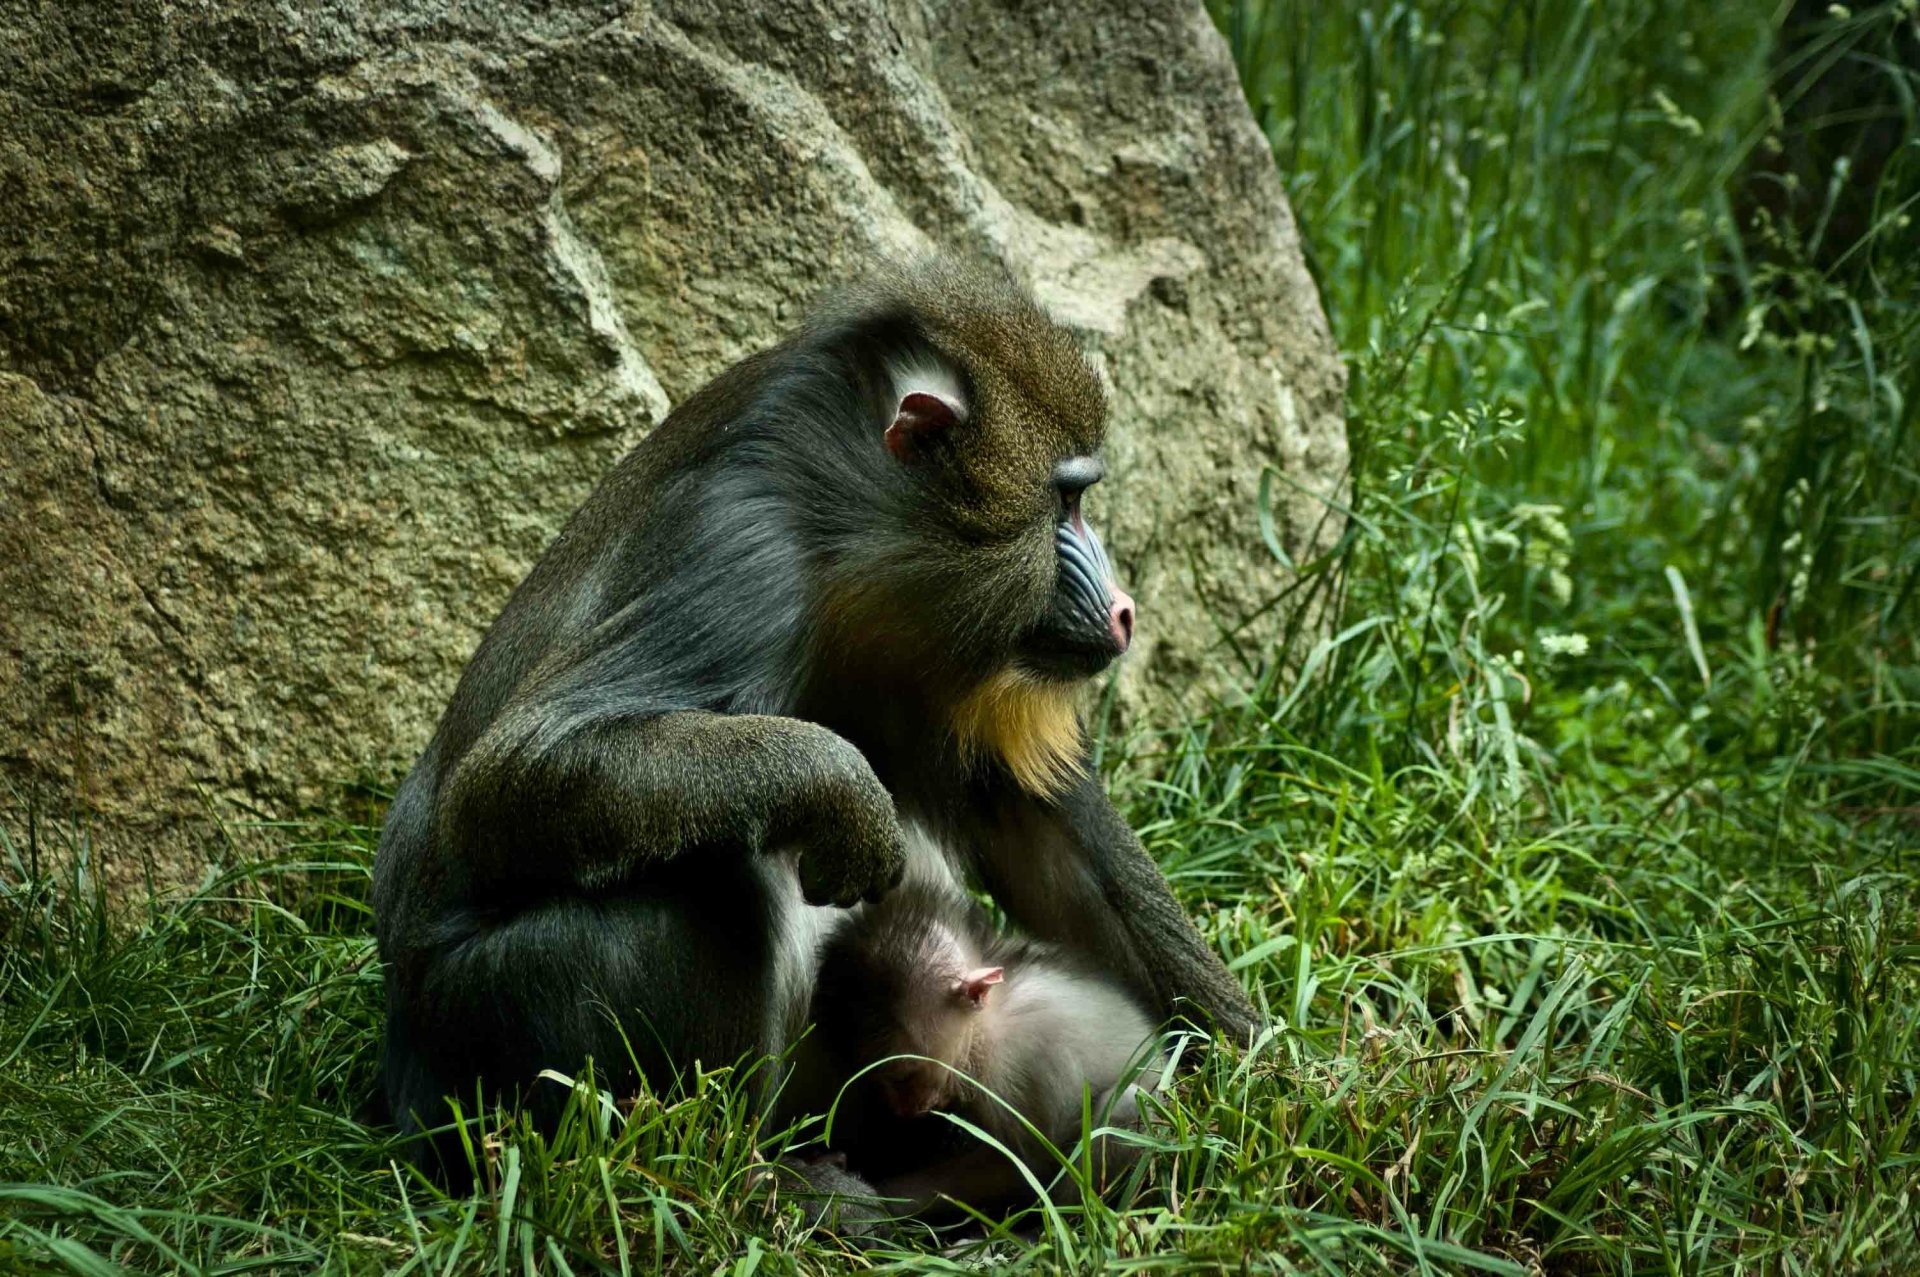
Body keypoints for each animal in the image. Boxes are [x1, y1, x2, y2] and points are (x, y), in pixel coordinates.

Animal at [790, 875, 1162, 1216]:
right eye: (884, 1081)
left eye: (904, 1074)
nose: (904, 1109)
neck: (983, 1029)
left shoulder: (1019, 1067)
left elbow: (1025, 1164)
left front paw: (877, 1196)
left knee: (1128, 1103)